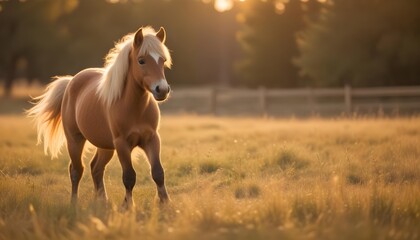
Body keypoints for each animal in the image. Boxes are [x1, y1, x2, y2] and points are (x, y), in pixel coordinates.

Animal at [27, 25, 172, 206]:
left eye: (163, 60)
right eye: (141, 60)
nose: (162, 89)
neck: (135, 108)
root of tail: (70, 82)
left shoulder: (151, 138)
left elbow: (158, 173)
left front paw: (166, 204)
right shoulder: (122, 144)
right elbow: (129, 177)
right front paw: (128, 206)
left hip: (105, 146)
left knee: (96, 168)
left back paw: (102, 201)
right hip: (75, 140)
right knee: (76, 170)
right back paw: (74, 203)